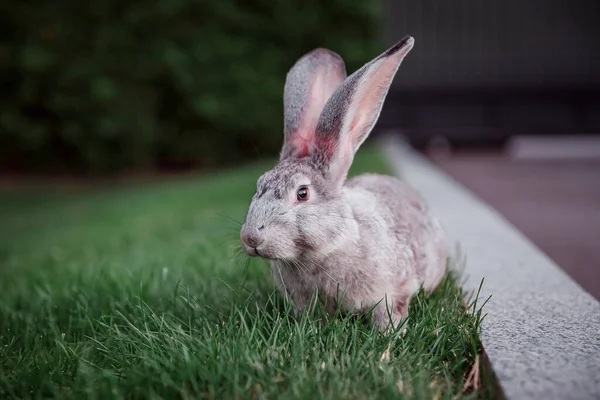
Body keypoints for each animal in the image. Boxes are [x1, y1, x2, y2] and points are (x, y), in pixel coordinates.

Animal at [239, 36, 446, 332]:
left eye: (302, 193)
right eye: (259, 184)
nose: (251, 238)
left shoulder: (392, 289)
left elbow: (389, 310)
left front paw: (389, 334)